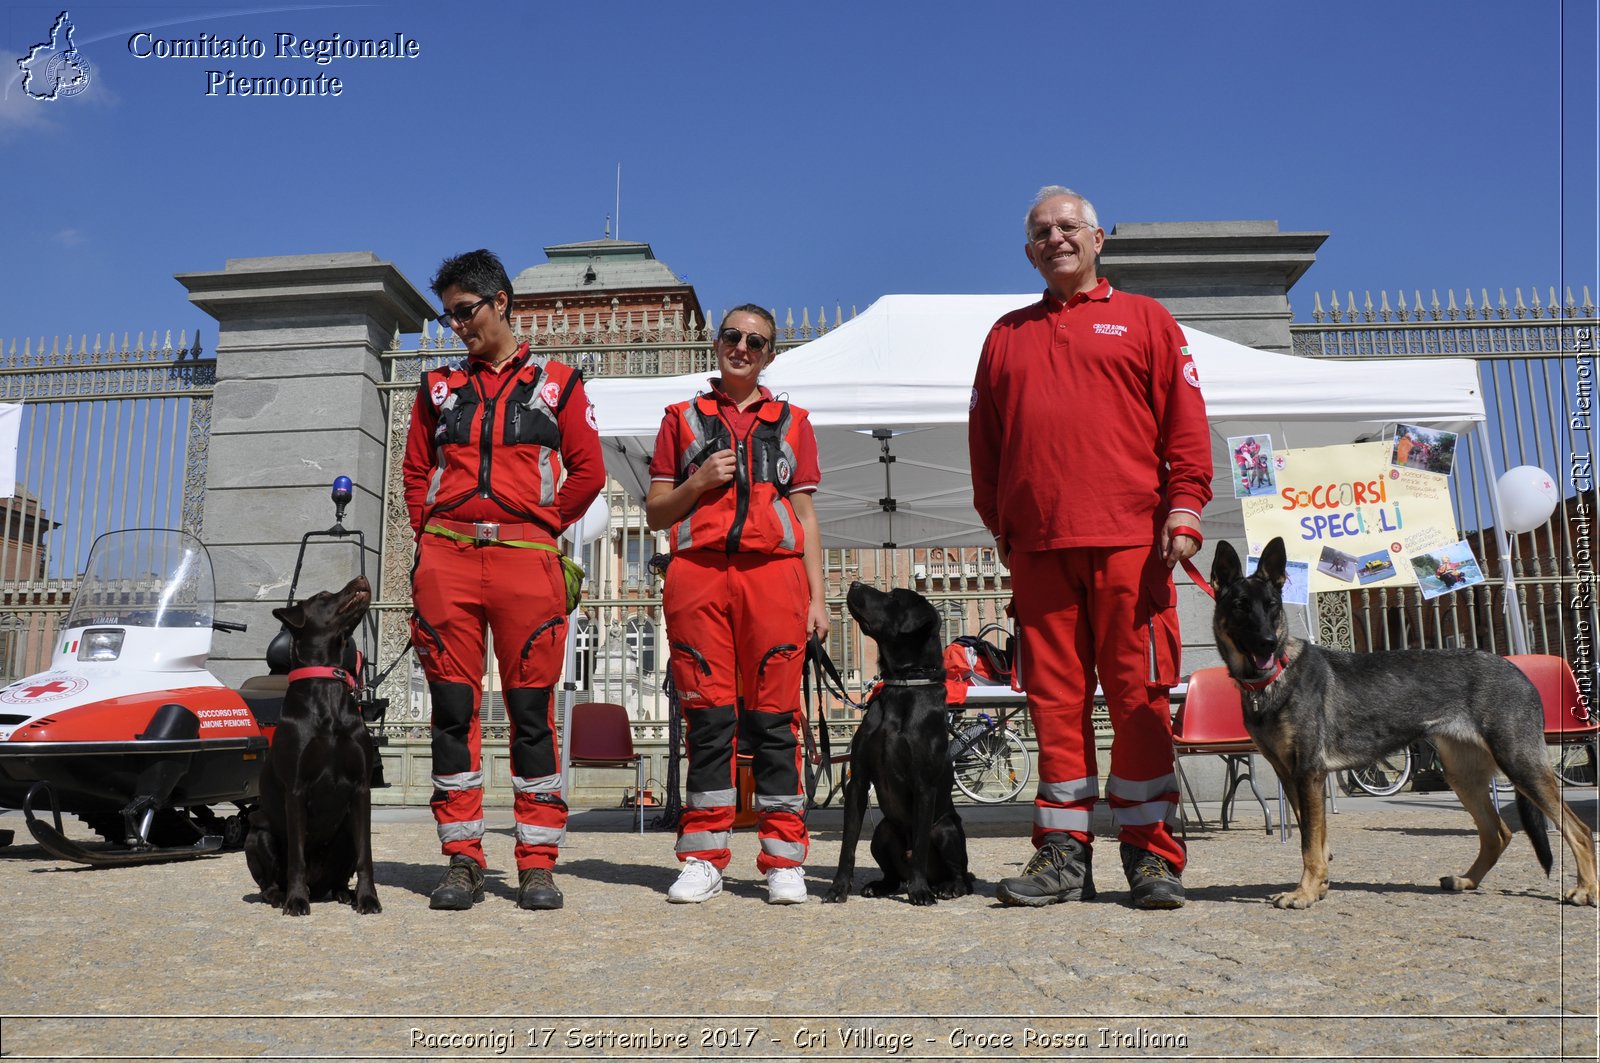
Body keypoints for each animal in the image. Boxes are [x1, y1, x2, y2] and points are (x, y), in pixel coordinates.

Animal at [243, 576, 380, 915]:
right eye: (323, 596)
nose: (362, 578)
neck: (328, 686)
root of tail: (318, 888)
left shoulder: (361, 788)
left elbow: (366, 856)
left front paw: (368, 899)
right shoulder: (296, 789)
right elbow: (297, 856)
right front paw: (295, 901)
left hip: (344, 833)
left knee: (339, 876)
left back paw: (344, 893)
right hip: (258, 832)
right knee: (267, 883)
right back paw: (281, 896)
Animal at [825, 582, 972, 902]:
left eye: (893, 597)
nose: (854, 584)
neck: (903, 686)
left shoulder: (924, 785)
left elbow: (919, 845)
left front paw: (920, 892)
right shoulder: (858, 781)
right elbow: (847, 844)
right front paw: (839, 887)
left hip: (947, 829)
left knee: (962, 874)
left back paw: (946, 887)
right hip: (883, 830)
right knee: (892, 873)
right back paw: (880, 886)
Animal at [1216, 534, 1593, 909]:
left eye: (1272, 606)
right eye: (1240, 606)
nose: (1267, 643)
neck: (1274, 676)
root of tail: (1519, 672)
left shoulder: (1308, 774)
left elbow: (1310, 843)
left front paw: (1304, 893)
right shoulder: (1291, 776)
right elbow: (1316, 840)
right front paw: (1318, 887)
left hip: (1519, 764)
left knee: (1579, 830)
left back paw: (1586, 890)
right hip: (1464, 775)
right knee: (1497, 833)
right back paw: (1466, 880)